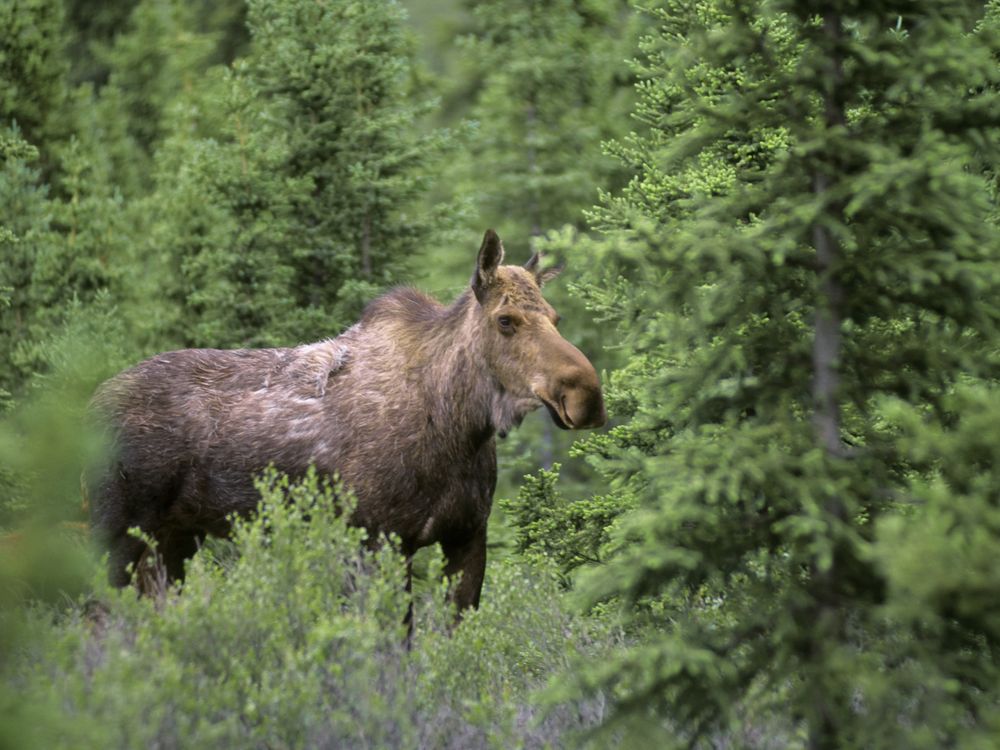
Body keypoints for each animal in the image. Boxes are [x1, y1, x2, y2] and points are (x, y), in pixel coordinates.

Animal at [92, 232, 608, 612]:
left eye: (556, 317)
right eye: (506, 320)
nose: (587, 395)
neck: (457, 428)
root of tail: (89, 404)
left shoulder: (467, 537)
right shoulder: (379, 541)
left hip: (174, 537)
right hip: (114, 530)